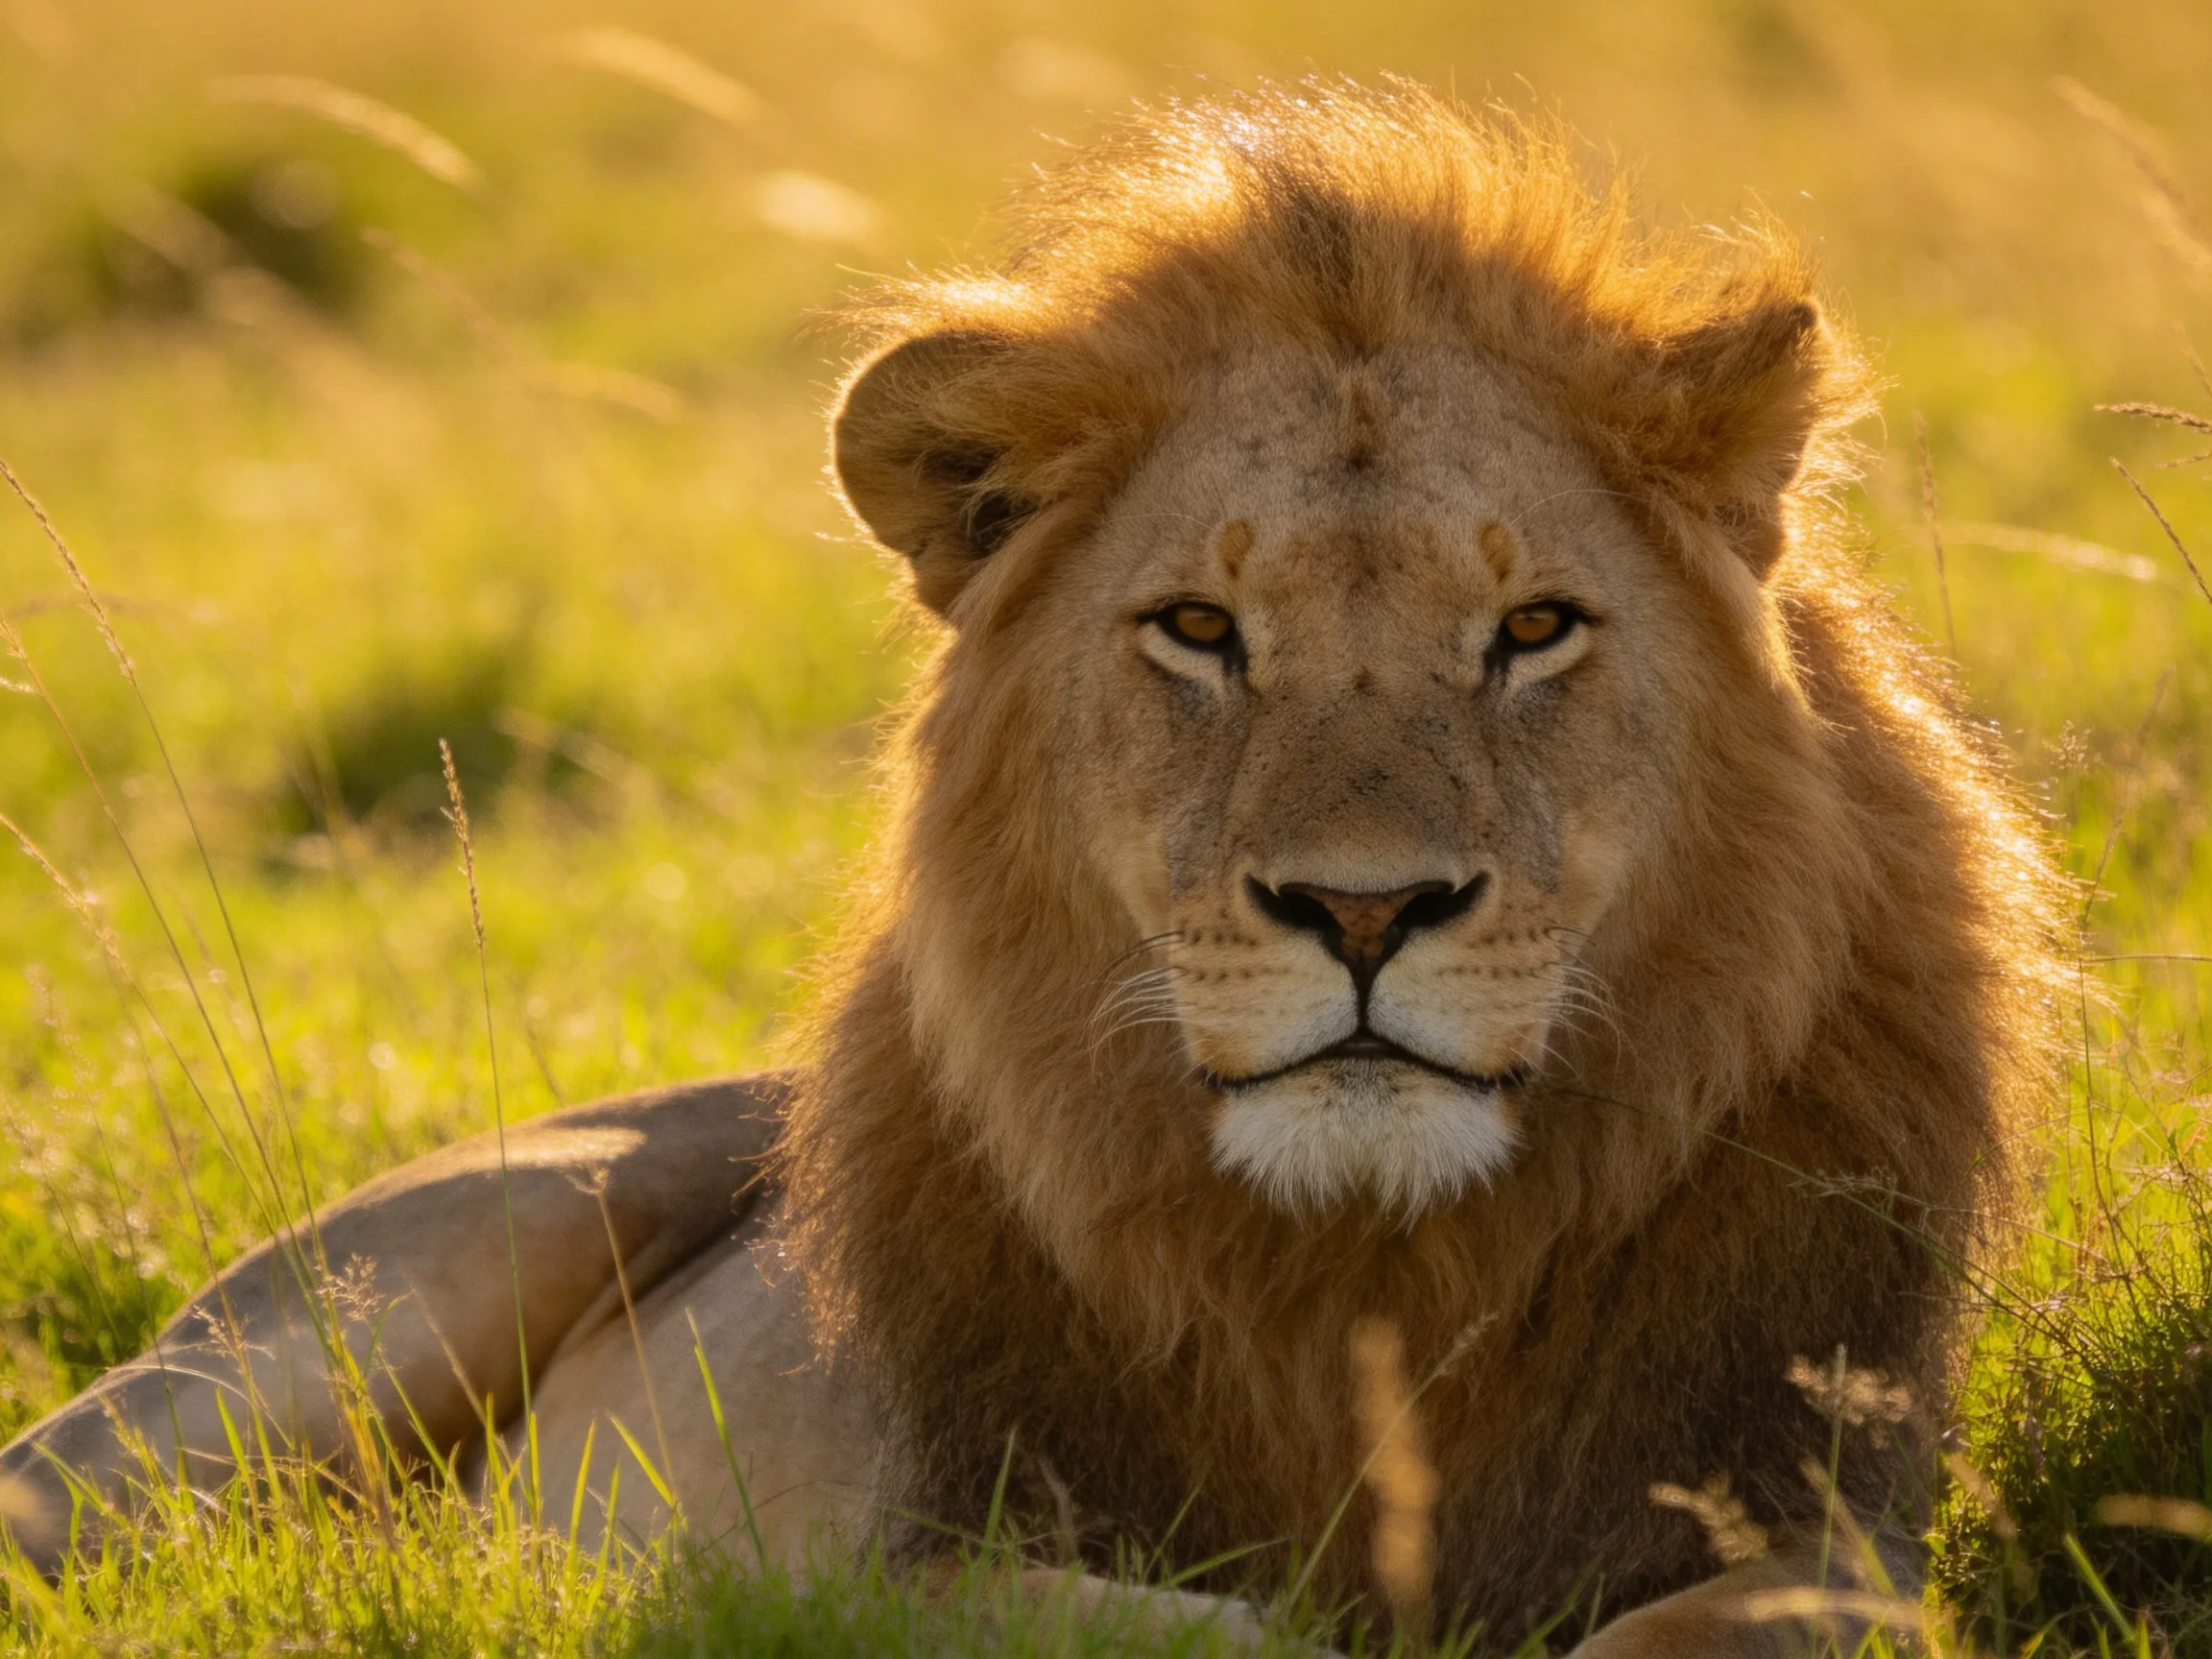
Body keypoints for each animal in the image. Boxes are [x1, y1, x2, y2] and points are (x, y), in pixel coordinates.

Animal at [3, 82, 2060, 1655]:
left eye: (1532, 627)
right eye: (1199, 630)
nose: (1364, 909)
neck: (1366, 1271)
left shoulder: (1823, 1516)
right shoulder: (868, 1561)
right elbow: (1190, 1628)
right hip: (338, 1325)